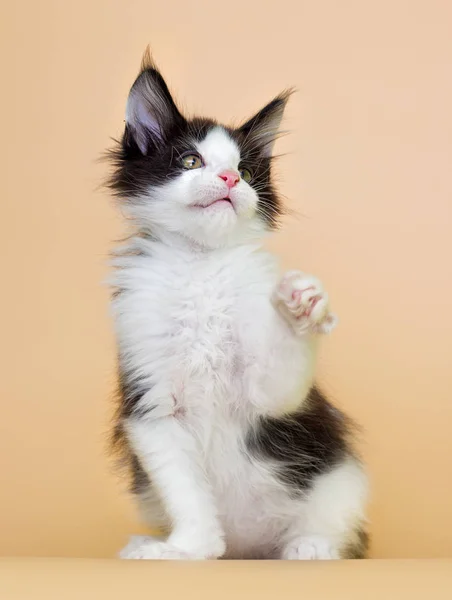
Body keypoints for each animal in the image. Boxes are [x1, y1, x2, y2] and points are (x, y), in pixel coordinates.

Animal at [107, 51, 370, 564]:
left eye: (246, 172)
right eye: (191, 161)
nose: (229, 179)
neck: (200, 265)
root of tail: (250, 549)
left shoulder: (269, 396)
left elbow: (281, 379)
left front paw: (302, 306)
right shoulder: (152, 404)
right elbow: (185, 492)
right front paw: (189, 548)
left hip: (341, 477)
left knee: (331, 521)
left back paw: (310, 546)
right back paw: (149, 544)